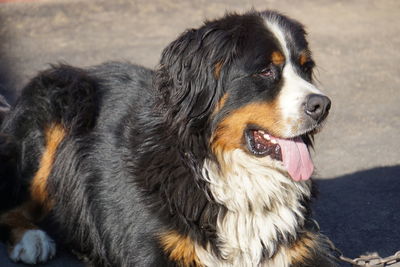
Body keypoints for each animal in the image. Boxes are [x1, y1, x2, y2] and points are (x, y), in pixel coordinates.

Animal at [0, 9, 336, 266]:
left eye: (306, 68)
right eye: (266, 71)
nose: (322, 105)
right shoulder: (151, 249)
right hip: (63, 97)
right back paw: (32, 240)